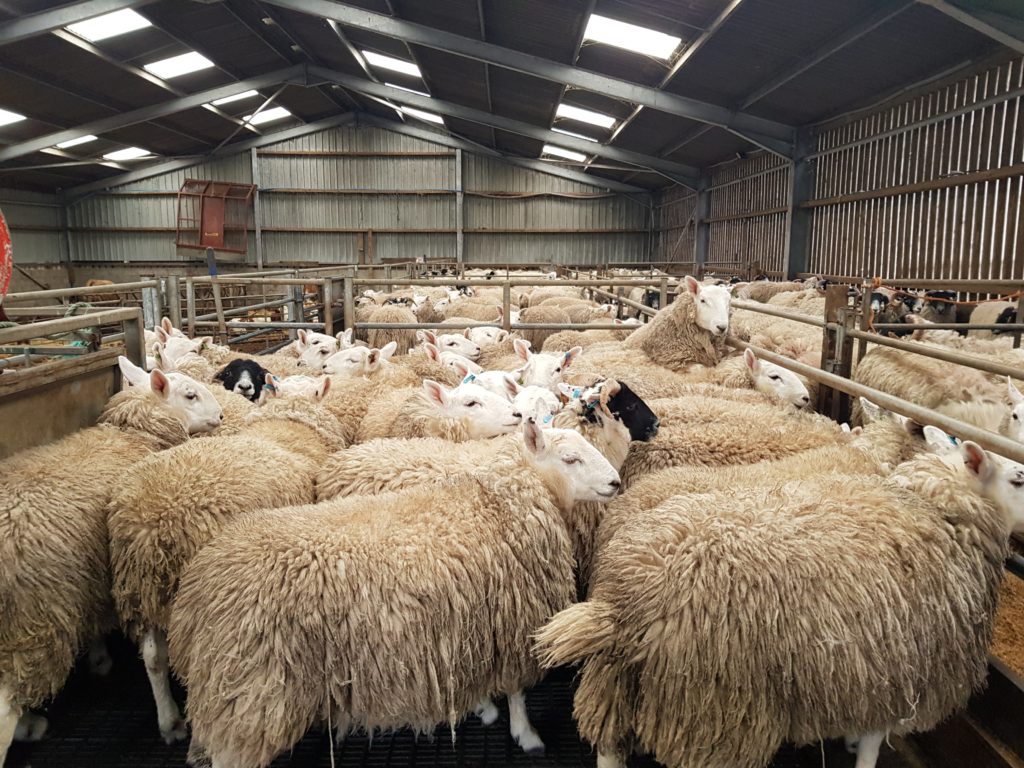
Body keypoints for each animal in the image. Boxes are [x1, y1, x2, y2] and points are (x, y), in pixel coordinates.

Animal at [0, 366, 222, 765]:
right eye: (190, 395)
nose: (222, 415)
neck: (134, 432)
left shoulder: (102, 574)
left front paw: (99, 656)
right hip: (30, 616)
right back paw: (28, 726)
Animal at [532, 442, 1019, 768]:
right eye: (1018, 478)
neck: (938, 509)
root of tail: (620, 604)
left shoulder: (875, 671)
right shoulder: (904, 673)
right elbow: (871, 746)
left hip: (618, 685)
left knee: (609, 749)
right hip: (712, 711)